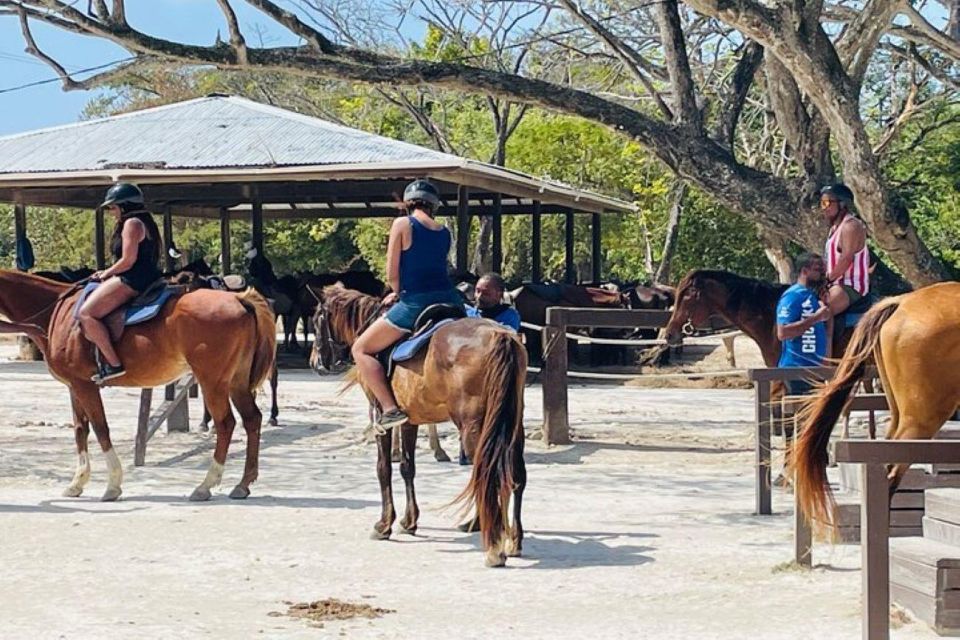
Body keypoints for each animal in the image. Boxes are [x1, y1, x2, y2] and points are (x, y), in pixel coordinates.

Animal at [0, 268, 274, 500]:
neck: (57, 313)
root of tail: (239, 300)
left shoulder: (85, 386)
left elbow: (100, 428)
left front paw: (112, 485)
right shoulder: (73, 386)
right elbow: (80, 430)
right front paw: (77, 483)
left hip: (212, 381)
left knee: (226, 424)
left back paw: (205, 485)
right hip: (236, 382)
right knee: (252, 420)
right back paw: (243, 484)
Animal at [312, 284, 524, 564]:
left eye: (316, 319)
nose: (316, 363)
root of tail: (500, 335)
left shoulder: (380, 419)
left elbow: (383, 469)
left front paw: (384, 524)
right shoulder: (410, 420)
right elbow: (407, 467)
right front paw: (409, 521)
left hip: (475, 428)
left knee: (489, 474)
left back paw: (493, 543)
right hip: (511, 426)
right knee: (514, 475)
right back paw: (512, 539)